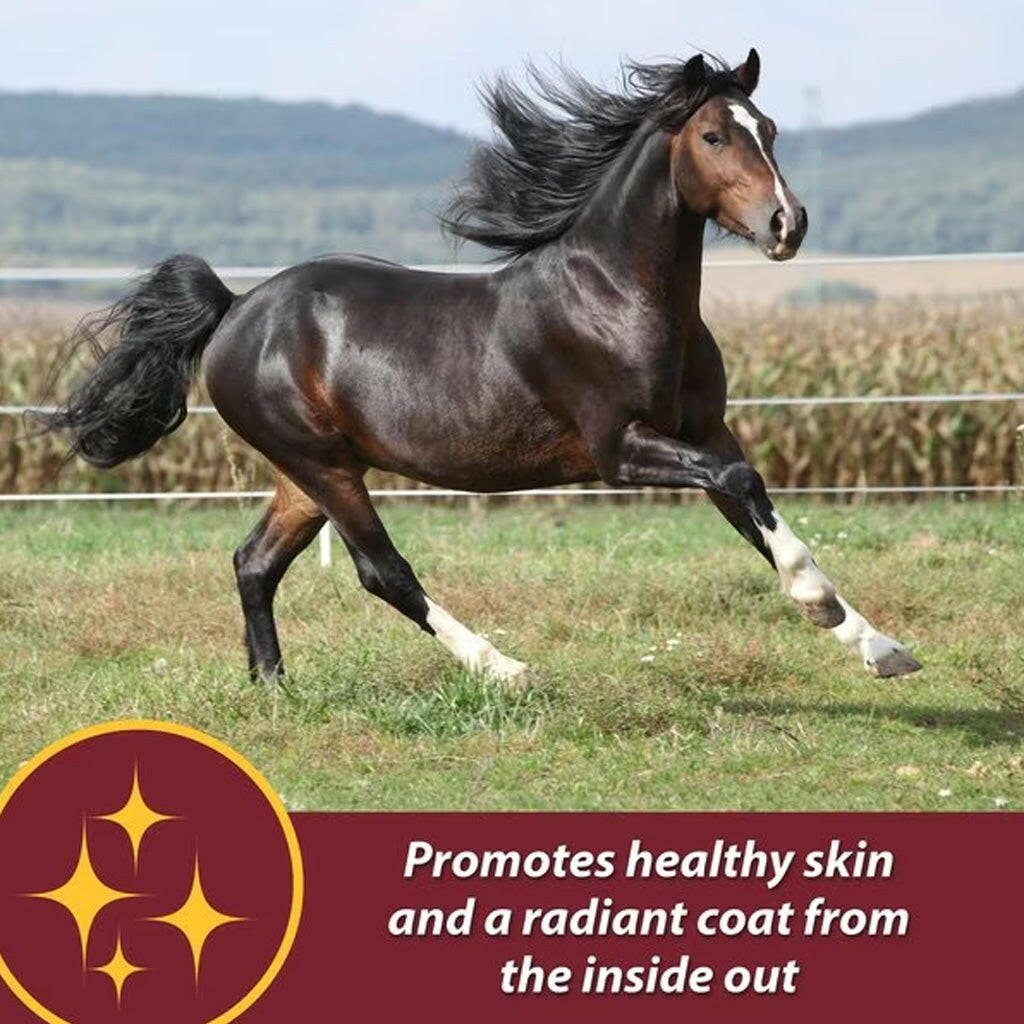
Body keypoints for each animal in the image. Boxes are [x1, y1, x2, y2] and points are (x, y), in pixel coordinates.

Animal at [41, 49, 921, 684]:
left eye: (769, 127)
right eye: (714, 136)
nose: (787, 223)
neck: (618, 296)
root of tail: (233, 309)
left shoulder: (705, 433)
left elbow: (756, 508)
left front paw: (878, 647)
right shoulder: (621, 448)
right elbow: (744, 490)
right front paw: (822, 609)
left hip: (306, 472)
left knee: (254, 563)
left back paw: (274, 687)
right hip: (324, 466)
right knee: (381, 572)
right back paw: (506, 669)